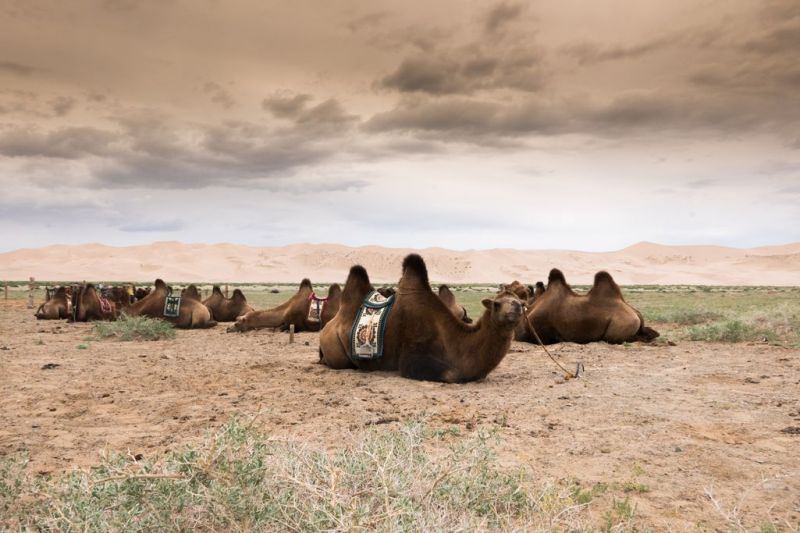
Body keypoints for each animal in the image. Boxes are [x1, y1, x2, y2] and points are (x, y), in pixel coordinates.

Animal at [319, 254, 525, 383]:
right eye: (497, 304)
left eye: (520, 301)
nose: (518, 307)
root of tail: (327, 327)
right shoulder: (413, 354)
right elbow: (452, 374)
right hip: (336, 352)